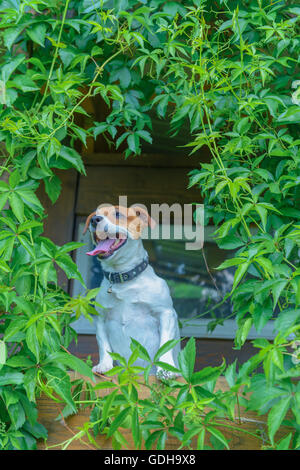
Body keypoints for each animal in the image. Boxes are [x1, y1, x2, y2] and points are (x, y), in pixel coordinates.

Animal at [82, 203, 180, 378]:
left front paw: (166, 369)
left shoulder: (166, 313)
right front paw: (105, 365)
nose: (95, 220)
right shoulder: (101, 319)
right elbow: (103, 345)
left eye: (118, 214)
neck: (123, 279)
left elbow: (165, 344)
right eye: (94, 215)